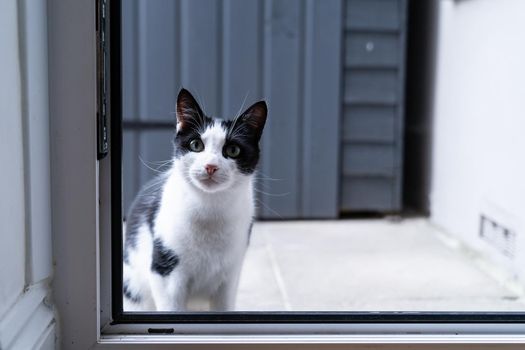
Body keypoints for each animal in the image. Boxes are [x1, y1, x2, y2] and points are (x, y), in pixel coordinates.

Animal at [122, 88, 266, 312]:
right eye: (196, 145)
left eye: (233, 150)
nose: (210, 166)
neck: (210, 209)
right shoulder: (165, 273)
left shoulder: (230, 277)